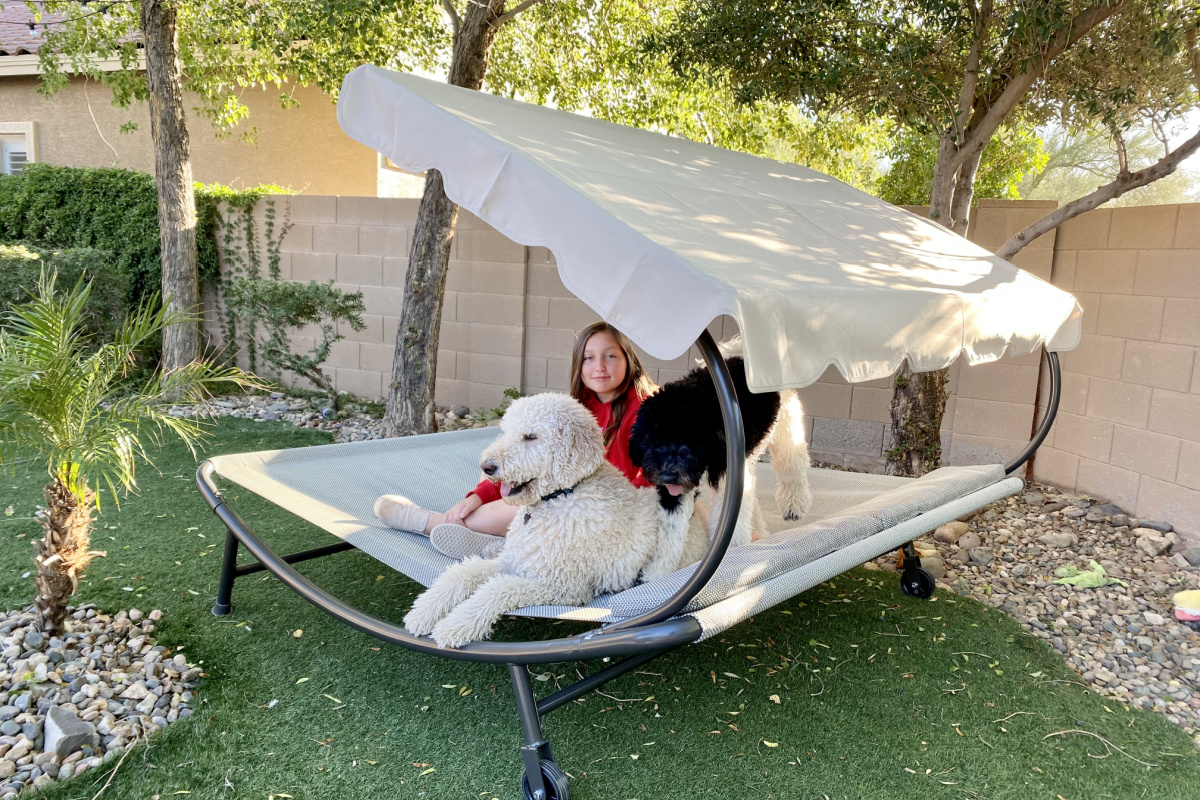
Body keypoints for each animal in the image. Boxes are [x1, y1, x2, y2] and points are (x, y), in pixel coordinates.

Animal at [408, 393, 662, 652]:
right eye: (505, 431)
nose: (486, 466)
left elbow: (496, 588)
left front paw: (454, 625)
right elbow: (462, 573)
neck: (560, 496)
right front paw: (423, 612)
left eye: (531, 436)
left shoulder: (562, 587)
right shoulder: (513, 561)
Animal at [633, 340, 811, 578]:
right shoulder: (674, 488)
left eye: (690, 437)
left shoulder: (727, 474)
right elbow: (672, 528)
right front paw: (656, 574)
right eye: (651, 437)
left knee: (792, 467)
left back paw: (794, 506)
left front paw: (732, 553)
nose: (669, 474)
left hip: (787, 425)